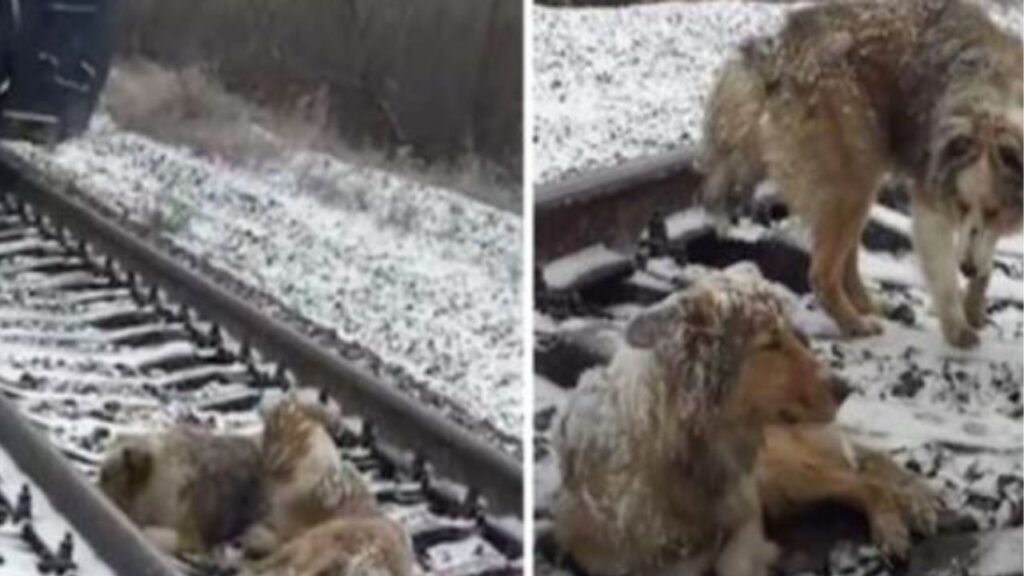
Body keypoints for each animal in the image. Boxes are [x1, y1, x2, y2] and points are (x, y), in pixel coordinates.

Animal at [704, 0, 1024, 344]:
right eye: (961, 205)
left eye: (994, 211)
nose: (966, 268)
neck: (996, 109)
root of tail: (778, 53)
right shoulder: (931, 198)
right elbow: (945, 275)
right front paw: (957, 326)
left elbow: (984, 254)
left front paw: (975, 305)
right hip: (852, 180)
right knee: (822, 272)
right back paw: (853, 323)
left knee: (847, 261)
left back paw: (870, 306)